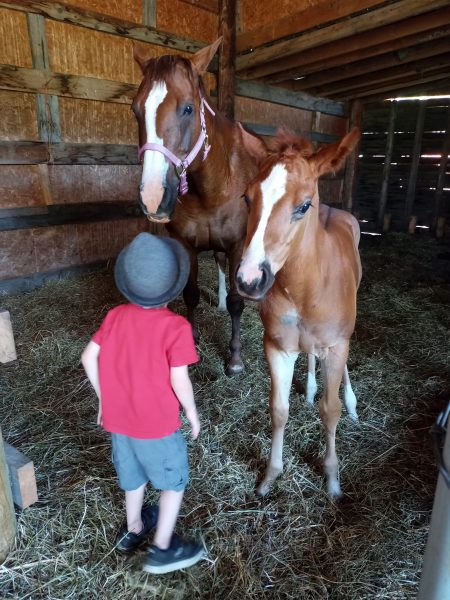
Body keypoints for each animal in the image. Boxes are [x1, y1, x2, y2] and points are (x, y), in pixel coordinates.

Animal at [133, 37, 268, 372]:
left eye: (188, 108)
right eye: (136, 110)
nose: (153, 197)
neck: (211, 188)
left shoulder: (237, 245)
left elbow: (237, 302)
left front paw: (235, 359)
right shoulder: (187, 243)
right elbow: (191, 294)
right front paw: (191, 343)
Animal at [234, 129, 360, 500]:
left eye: (304, 206)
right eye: (247, 198)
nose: (249, 280)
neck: (306, 287)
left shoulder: (336, 345)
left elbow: (330, 410)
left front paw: (332, 480)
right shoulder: (277, 347)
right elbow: (278, 409)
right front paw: (269, 477)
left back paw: (352, 402)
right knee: (310, 356)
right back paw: (309, 388)